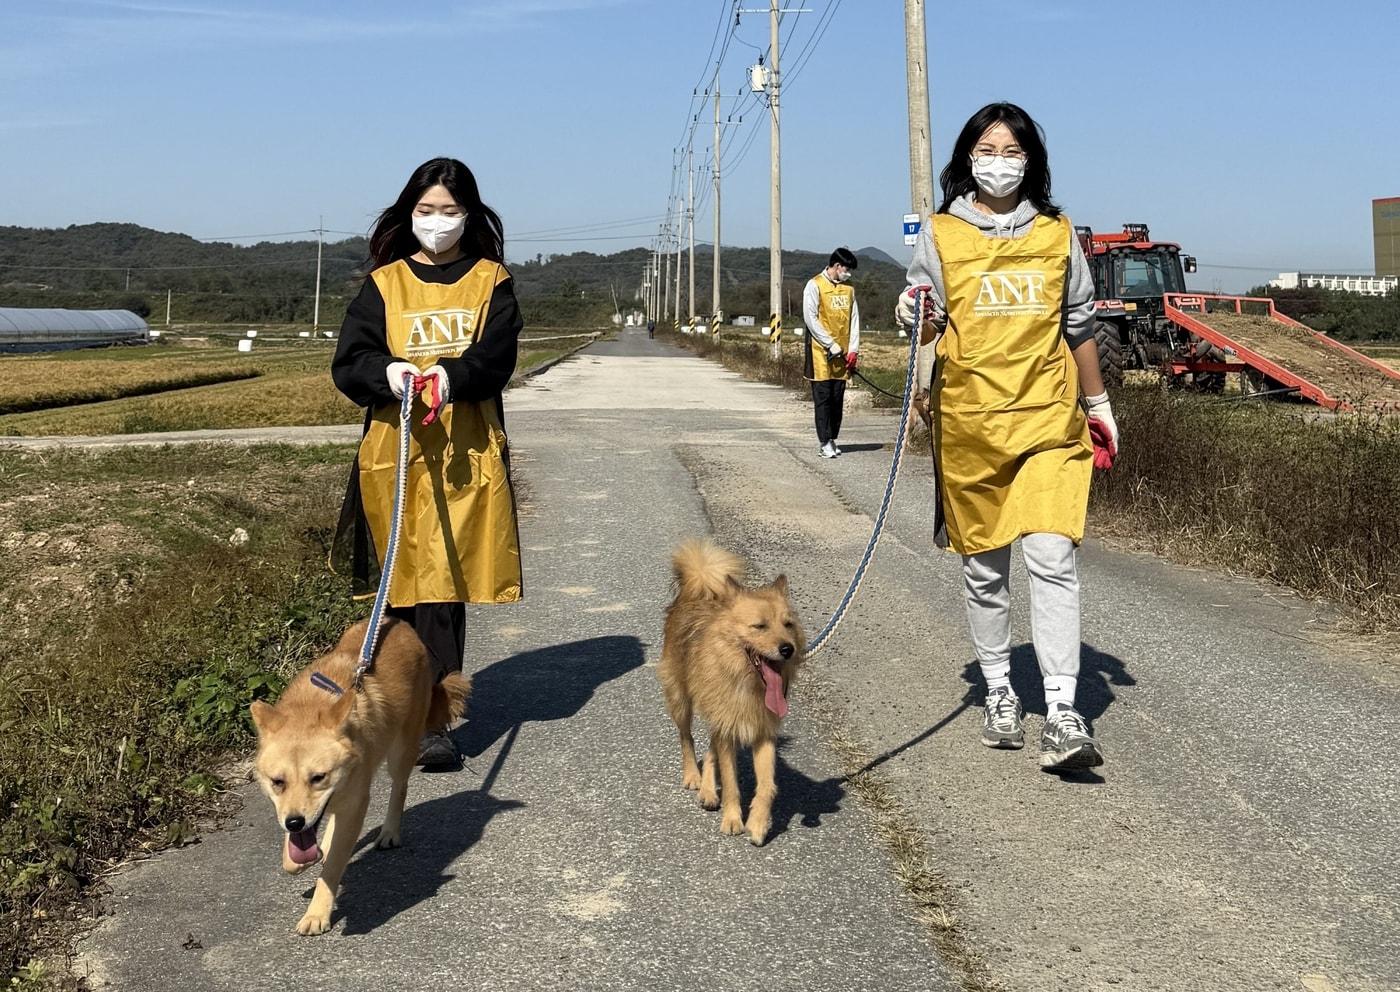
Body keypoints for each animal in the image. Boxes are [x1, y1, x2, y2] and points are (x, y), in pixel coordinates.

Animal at [250, 618, 470, 934]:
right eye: (277, 782)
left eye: (318, 777)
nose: (294, 822)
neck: (310, 708)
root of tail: (400, 623)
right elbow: (295, 855)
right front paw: (300, 859)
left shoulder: (354, 803)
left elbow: (332, 868)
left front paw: (317, 912)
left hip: (401, 751)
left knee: (399, 788)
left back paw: (389, 831)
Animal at [658, 537, 806, 845]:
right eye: (759, 626)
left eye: (788, 624)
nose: (788, 649)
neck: (747, 682)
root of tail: (695, 593)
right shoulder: (727, 730)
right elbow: (730, 782)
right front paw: (732, 818)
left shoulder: (762, 732)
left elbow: (767, 785)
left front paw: (758, 824)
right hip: (681, 701)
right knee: (687, 738)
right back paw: (693, 777)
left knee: (710, 750)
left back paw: (707, 790)